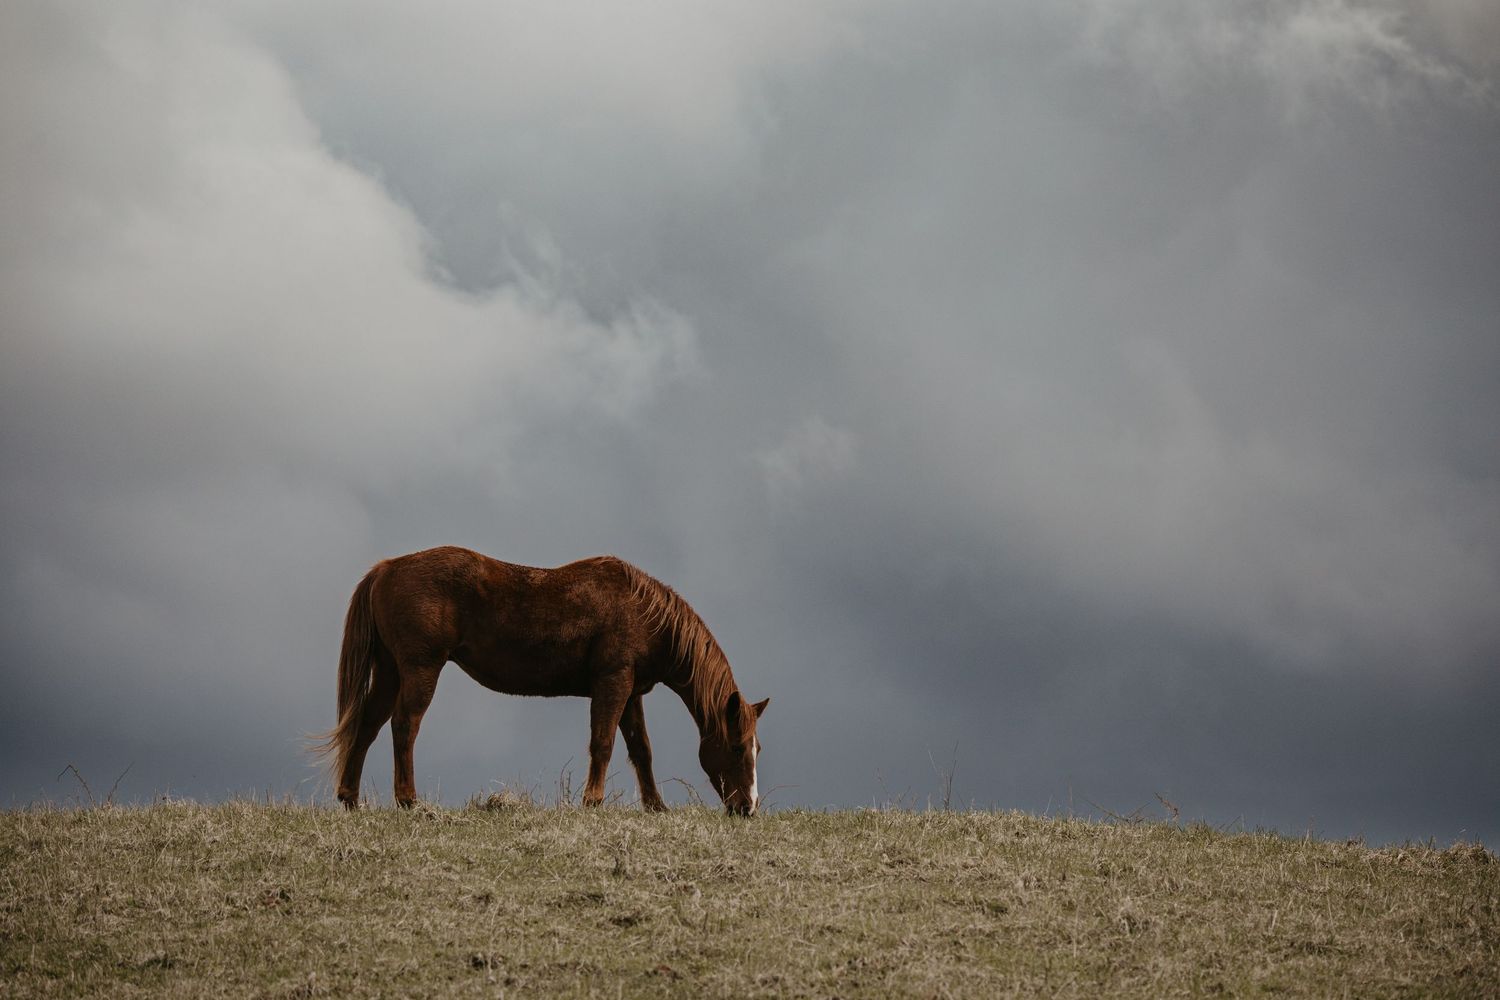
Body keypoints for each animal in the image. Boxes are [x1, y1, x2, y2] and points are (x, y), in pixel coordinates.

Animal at [313, 546, 769, 815]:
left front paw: (656, 807)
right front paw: (592, 802)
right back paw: (409, 800)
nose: (748, 807)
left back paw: (351, 798)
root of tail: (386, 569)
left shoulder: (631, 691)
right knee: (404, 726)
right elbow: (603, 743)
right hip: (420, 669)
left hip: (390, 671)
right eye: (737, 746)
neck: (644, 613)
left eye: (757, 748)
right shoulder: (613, 682)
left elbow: (641, 749)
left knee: (367, 727)